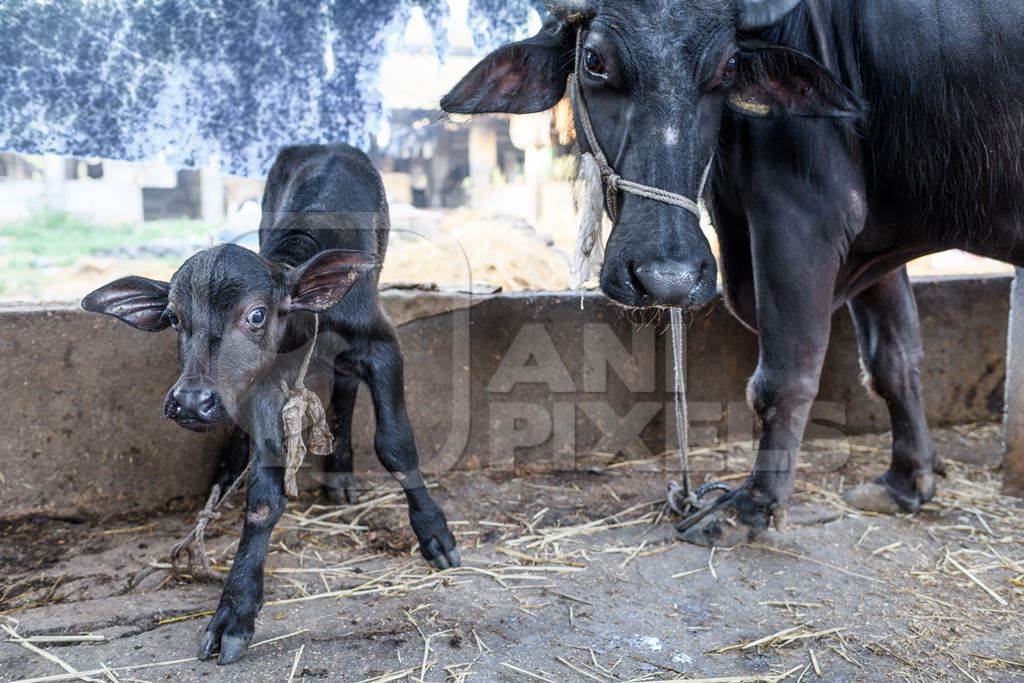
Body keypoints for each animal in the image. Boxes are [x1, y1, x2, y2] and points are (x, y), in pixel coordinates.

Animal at [81, 143, 458, 663]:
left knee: (346, 385)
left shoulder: (384, 345)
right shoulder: (263, 389)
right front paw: (236, 609)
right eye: (174, 318)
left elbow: (397, 446)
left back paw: (341, 474)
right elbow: (263, 497)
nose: (190, 402)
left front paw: (434, 533)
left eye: (256, 315)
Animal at [440, 0, 1024, 544]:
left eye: (728, 67)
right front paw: (906, 481)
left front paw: (754, 504)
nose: (668, 278)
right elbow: (894, 358)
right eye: (593, 61)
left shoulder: (801, 221)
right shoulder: (874, 242)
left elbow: (784, 376)